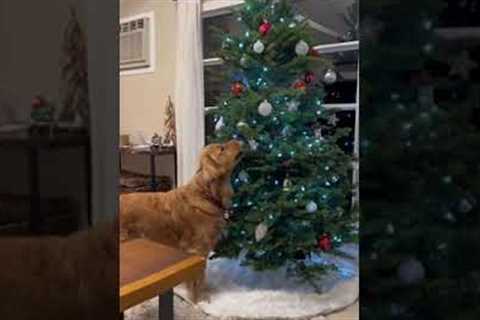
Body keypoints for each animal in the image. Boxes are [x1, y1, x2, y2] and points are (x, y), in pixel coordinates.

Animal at [118, 140, 242, 302]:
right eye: (221, 148)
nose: (238, 140)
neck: (207, 193)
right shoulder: (198, 250)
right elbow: (198, 280)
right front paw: (199, 301)